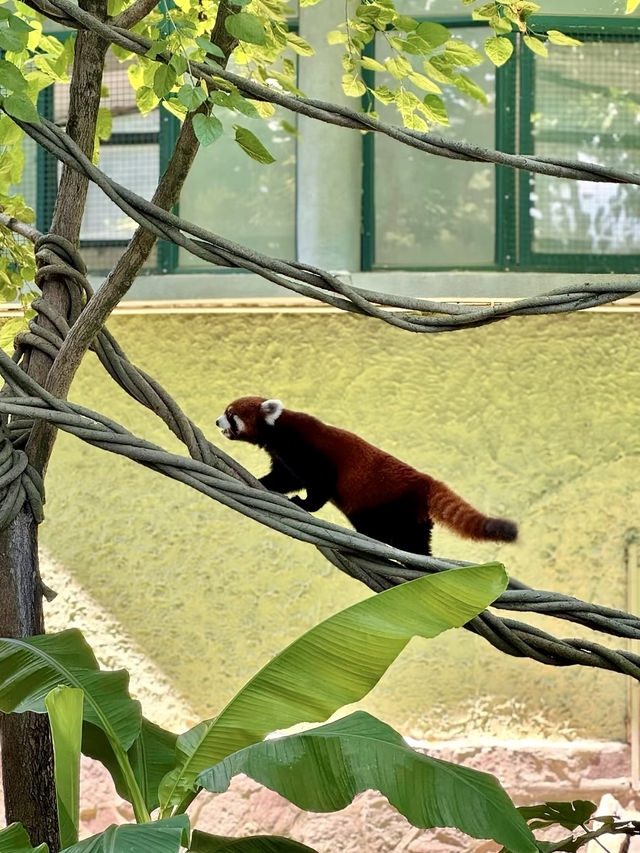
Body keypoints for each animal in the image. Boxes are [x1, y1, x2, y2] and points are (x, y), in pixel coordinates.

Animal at [218, 396, 516, 556]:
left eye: (231, 414)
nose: (216, 421)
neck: (278, 428)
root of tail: (425, 481)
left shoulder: (305, 446)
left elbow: (319, 482)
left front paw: (304, 504)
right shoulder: (282, 456)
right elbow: (285, 477)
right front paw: (264, 483)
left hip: (388, 505)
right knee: (417, 541)